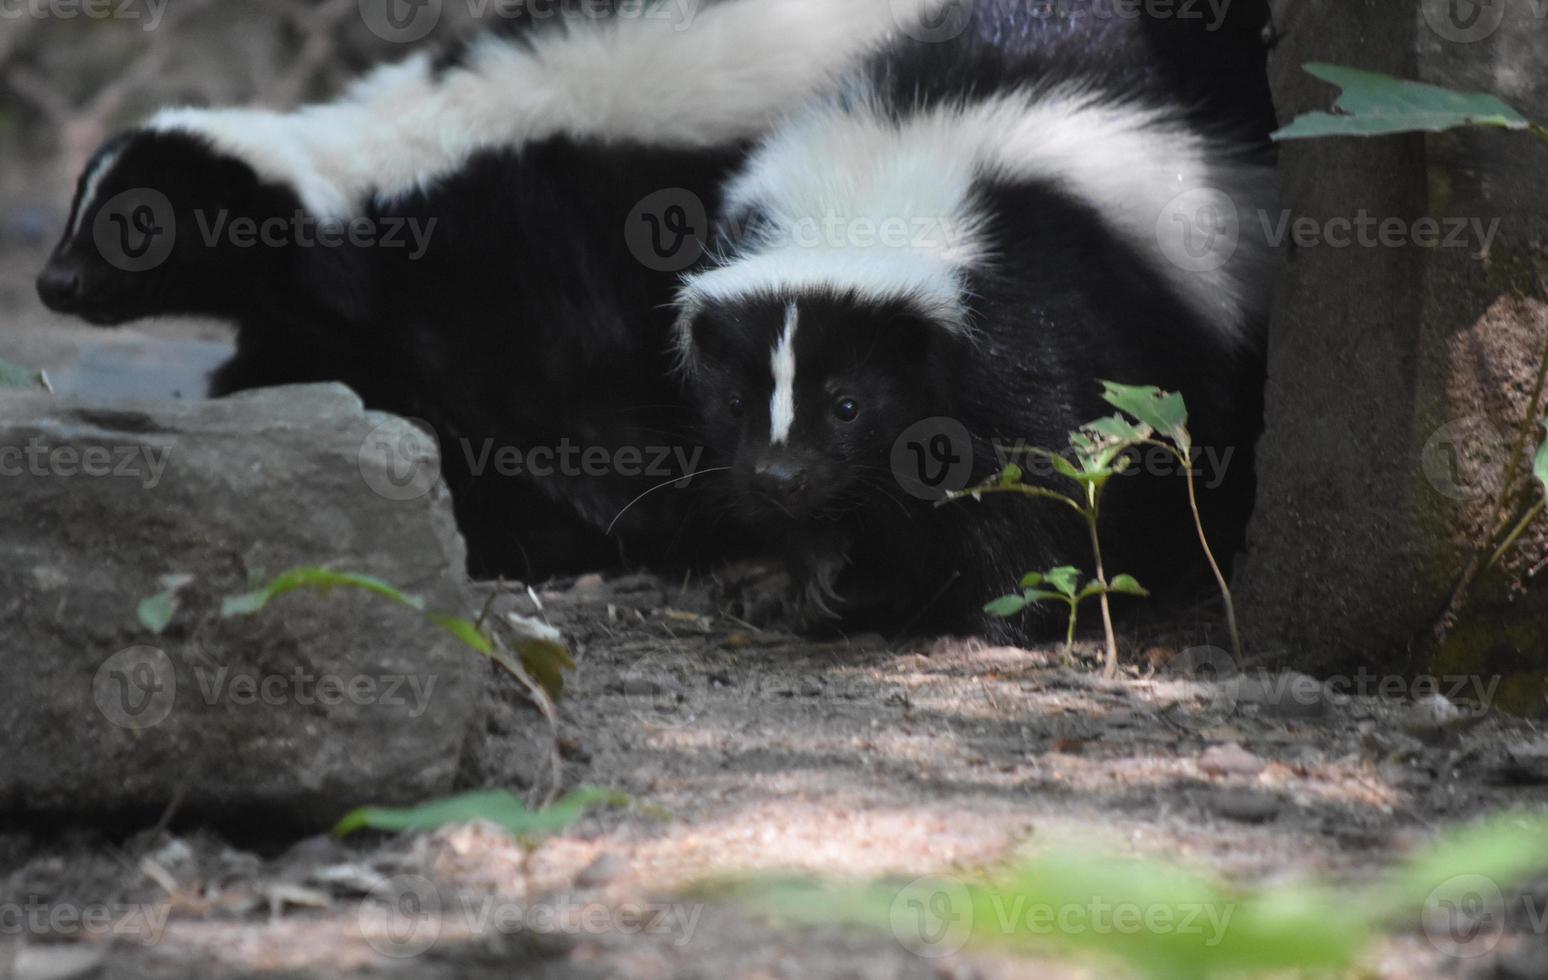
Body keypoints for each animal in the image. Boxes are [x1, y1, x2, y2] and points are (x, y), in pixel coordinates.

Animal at [36, 0, 947, 582]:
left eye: (138, 226)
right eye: (80, 210)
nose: (53, 281)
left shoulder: (537, 265)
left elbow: (586, 430)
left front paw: (594, 540)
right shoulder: (356, 320)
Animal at [678, 1, 1281, 640]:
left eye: (848, 405)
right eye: (735, 402)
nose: (780, 475)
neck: (866, 196)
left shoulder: (1042, 307)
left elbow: (1037, 475)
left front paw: (997, 614)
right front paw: (816, 579)